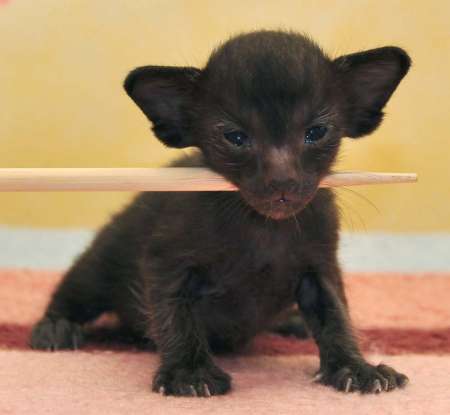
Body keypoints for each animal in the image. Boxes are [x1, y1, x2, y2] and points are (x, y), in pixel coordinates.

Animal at [29, 30, 412, 396]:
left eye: (316, 132)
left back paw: (291, 321)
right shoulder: (167, 263)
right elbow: (176, 318)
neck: (262, 228)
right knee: (73, 291)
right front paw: (189, 372)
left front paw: (355, 368)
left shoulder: (319, 267)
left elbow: (336, 318)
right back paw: (55, 328)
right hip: (100, 263)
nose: (282, 181)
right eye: (236, 137)